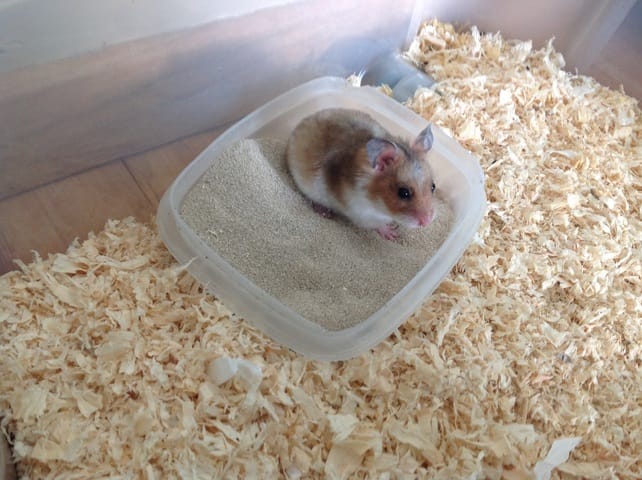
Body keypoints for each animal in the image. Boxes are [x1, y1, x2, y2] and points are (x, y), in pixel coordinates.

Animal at [286, 108, 436, 240]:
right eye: (403, 193)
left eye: (433, 186)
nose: (427, 222)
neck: (377, 202)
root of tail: (299, 125)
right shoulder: (362, 214)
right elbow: (378, 225)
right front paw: (392, 234)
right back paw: (324, 212)